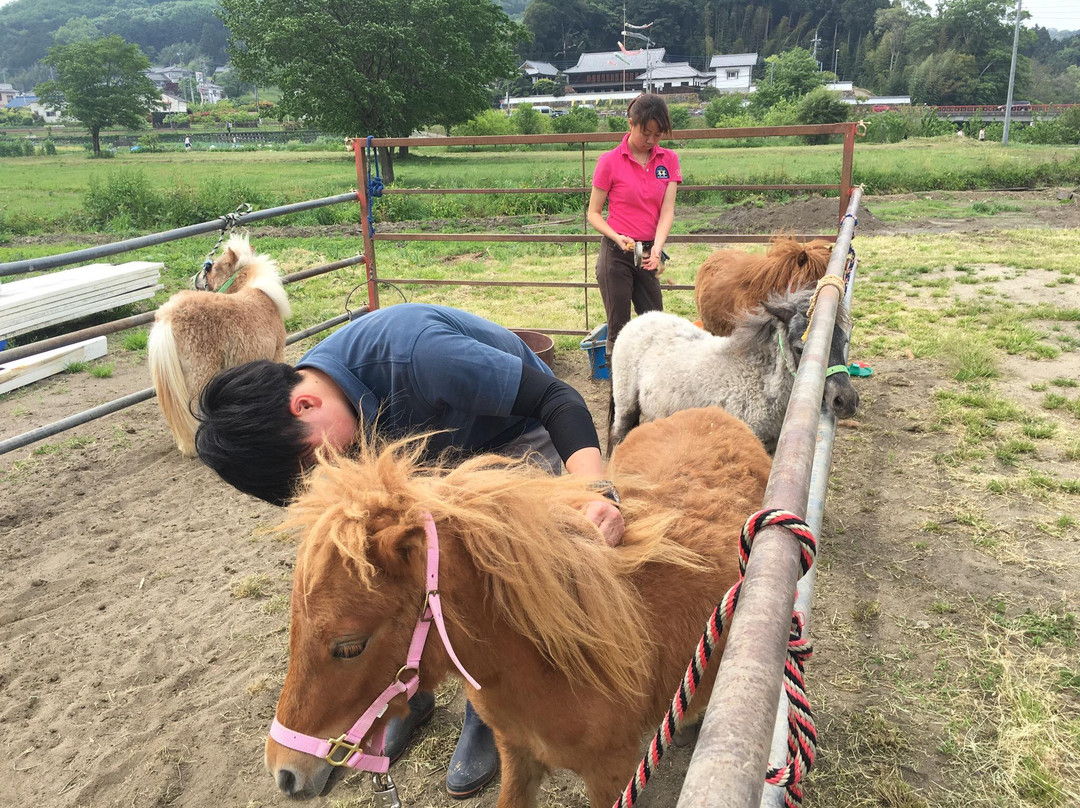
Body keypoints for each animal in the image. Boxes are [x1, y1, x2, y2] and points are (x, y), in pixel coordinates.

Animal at [148, 234, 290, 456]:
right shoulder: (276, 354)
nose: (196, 279)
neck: (262, 296)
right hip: (200, 374)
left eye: (213, 267)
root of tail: (168, 317)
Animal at [264, 407, 772, 805]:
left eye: (349, 646)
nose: (284, 773)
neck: (554, 660)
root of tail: (714, 413)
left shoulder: (612, 774)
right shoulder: (516, 752)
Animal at [609, 287, 859, 453]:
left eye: (844, 341)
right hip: (626, 403)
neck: (757, 382)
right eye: (800, 348)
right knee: (617, 435)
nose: (846, 400)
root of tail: (639, 319)